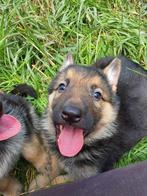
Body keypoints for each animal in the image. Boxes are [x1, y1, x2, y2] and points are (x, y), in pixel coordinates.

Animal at [39, 54, 147, 185]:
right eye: (62, 87)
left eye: (97, 95)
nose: (71, 115)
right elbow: (51, 169)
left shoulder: (86, 175)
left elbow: (58, 180)